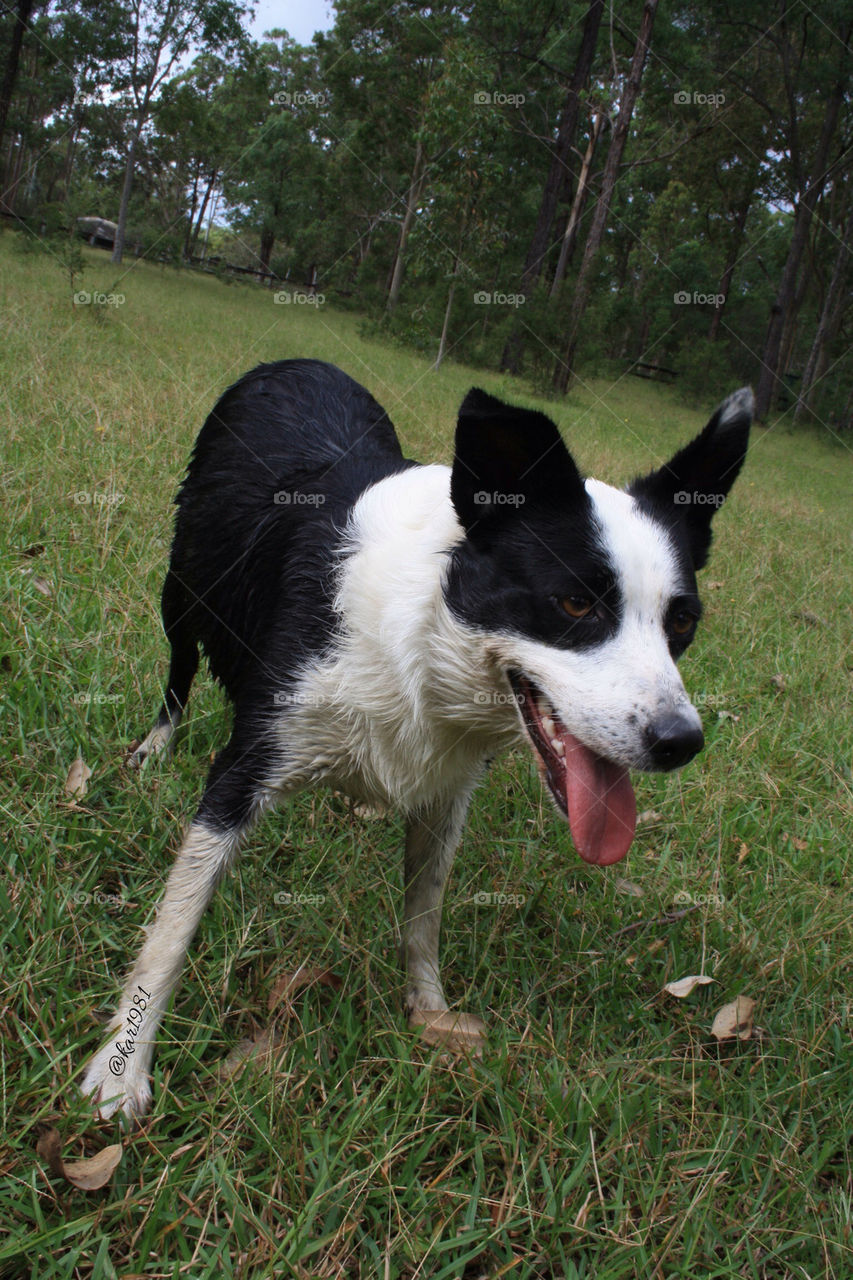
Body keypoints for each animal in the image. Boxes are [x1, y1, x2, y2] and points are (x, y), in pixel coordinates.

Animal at [78, 355, 742, 1116]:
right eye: (575, 603)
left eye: (682, 622)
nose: (680, 741)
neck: (424, 634)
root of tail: (296, 361)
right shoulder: (245, 765)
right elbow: (175, 923)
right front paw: (122, 1066)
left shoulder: (445, 794)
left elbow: (423, 913)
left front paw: (430, 1013)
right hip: (182, 583)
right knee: (179, 665)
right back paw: (156, 744)